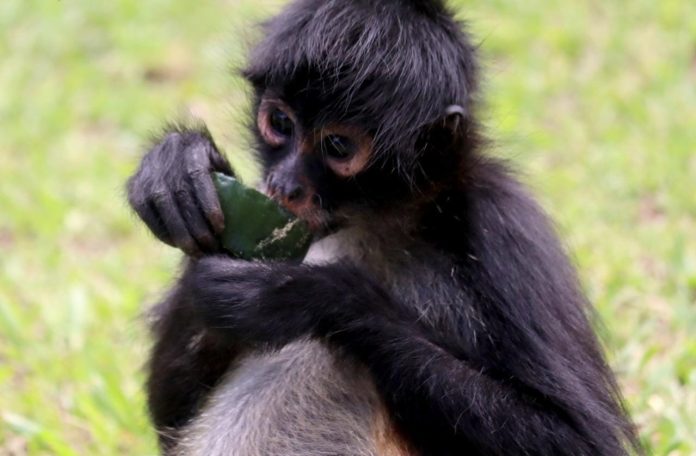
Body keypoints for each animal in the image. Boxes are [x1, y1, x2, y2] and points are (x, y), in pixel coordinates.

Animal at [126, 0, 642, 455]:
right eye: (279, 123)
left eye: (337, 146)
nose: (284, 184)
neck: (378, 220)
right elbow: (171, 416)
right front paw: (179, 166)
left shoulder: (502, 224)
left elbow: (578, 440)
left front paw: (304, 296)